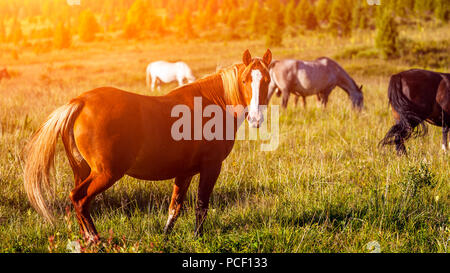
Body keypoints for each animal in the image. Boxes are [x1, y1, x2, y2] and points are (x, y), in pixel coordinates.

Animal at [23, 49, 270, 240]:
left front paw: (166, 237)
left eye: (266, 81)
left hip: (83, 171)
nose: (256, 118)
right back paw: (95, 240)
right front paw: (197, 237)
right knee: (79, 199)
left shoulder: (185, 172)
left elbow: (175, 207)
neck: (212, 103)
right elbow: (201, 206)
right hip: (106, 173)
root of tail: (81, 102)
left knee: (78, 203)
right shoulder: (211, 167)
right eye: (246, 80)